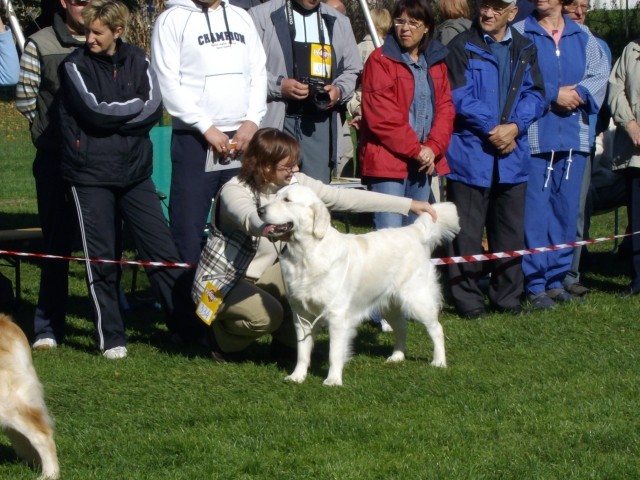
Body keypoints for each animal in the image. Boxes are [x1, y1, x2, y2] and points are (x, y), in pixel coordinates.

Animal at [258, 184, 462, 386]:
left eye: (287, 200)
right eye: (275, 196)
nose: (260, 210)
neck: (306, 253)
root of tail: (412, 231)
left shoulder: (337, 316)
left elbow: (334, 353)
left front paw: (333, 380)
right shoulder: (301, 315)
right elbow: (302, 351)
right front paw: (297, 376)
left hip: (417, 300)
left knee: (436, 329)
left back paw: (439, 362)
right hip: (389, 305)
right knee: (401, 329)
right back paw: (397, 356)